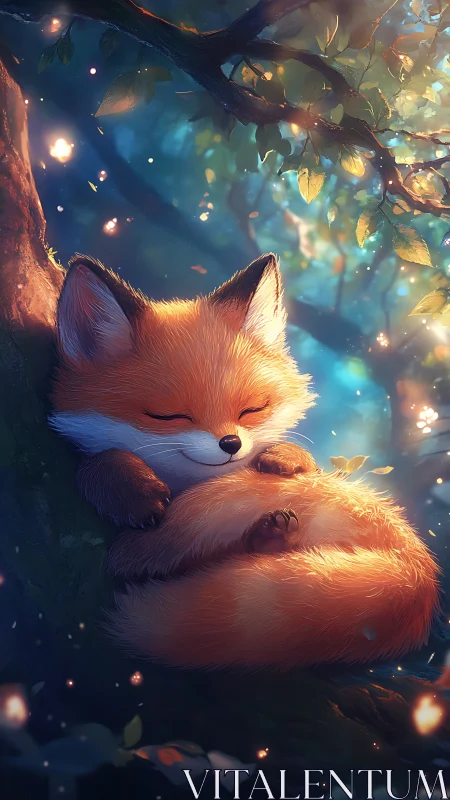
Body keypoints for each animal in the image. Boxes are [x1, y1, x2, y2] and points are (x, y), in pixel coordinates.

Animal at [50, 252, 440, 669]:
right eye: (168, 416)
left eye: (252, 409)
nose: (231, 443)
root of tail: (420, 573)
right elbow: (94, 462)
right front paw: (125, 486)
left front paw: (284, 456)